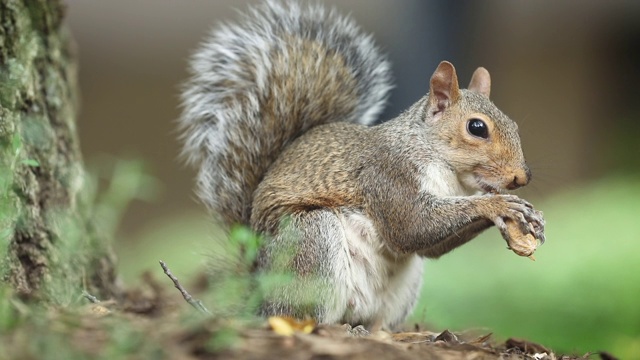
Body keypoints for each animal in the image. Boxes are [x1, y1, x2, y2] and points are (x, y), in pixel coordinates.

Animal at [179, 0, 544, 332]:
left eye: (513, 124)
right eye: (477, 128)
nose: (521, 177)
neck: (449, 172)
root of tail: (258, 290)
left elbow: (428, 246)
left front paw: (524, 215)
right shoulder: (387, 174)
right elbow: (412, 226)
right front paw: (497, 205)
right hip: (310, 240)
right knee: (302, 315)